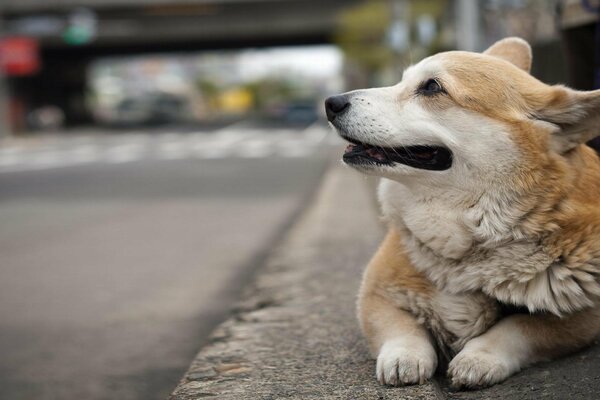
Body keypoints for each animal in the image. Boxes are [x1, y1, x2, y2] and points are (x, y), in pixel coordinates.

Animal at [328, 37, 600, 388]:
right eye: (401, 80)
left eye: (432, 87)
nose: (331, 103)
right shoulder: (375, 294)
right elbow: (402, 329)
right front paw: (404, 358)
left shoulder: (584, 316)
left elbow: (521, 327)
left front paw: (478, 358)